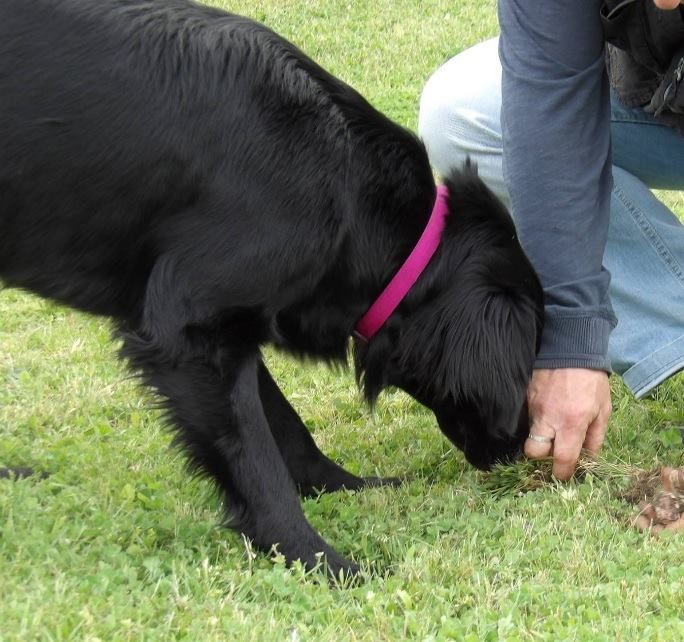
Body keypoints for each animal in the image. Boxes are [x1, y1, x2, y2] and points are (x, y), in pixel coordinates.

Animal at [0, 0, 544, 568]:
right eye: (532, 356)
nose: (525, 446)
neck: (345, 183)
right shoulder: (192, 330)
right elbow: (255, 460)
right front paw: (318, 558)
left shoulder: (233, 321)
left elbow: (284, 423)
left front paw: (341, 485)